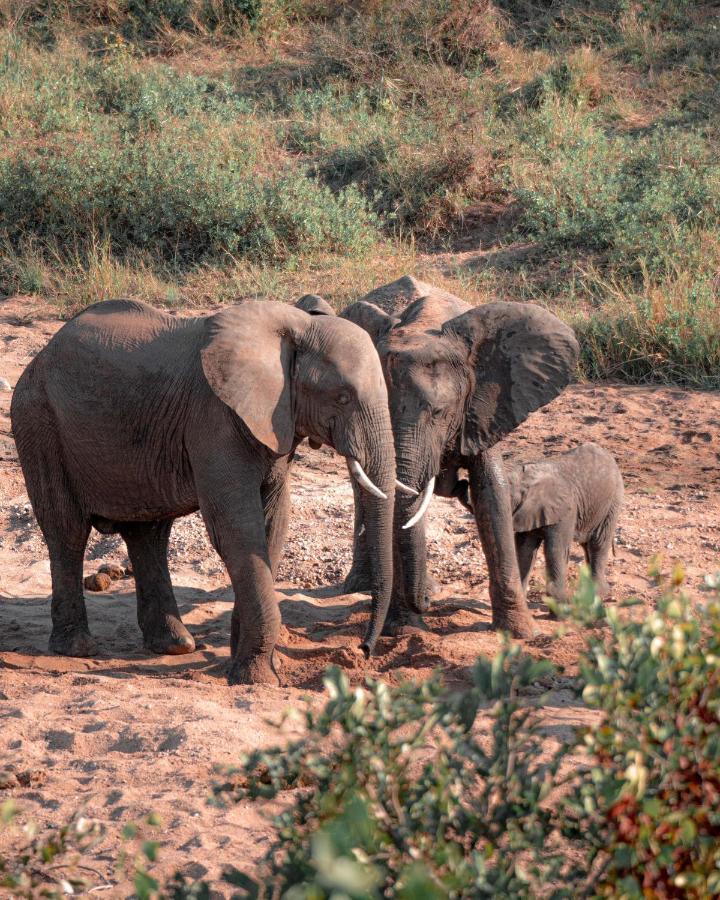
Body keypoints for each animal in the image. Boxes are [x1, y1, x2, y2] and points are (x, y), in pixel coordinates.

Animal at [9, 298, 394, 684]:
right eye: (342, 397)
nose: (363, 649)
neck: (297, 327)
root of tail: (41, 354)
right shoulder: (215, 420)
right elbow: (237, 531)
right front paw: (256, 678)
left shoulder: (276, 425)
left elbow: (272, 527)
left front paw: (242, 662)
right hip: (38, 420)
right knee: (67, 531)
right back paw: (77, 648)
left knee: (148, 535)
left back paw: (175, 645)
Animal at [338, 278, 580, 636]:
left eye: (439, 413)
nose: (425, 603)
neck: (423, 326)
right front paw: (404, 630)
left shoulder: (484, 405)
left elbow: (491, 492)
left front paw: (520, 633)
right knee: (367, 492)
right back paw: (366, 585)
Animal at [510, 442, 620, 600]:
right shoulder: (527, 511)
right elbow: (525, 550)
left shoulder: (566, 511)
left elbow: (556, 549)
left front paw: (559, 600)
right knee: (587, 545)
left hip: (612, 502)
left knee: (598, 542)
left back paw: (599, 593)